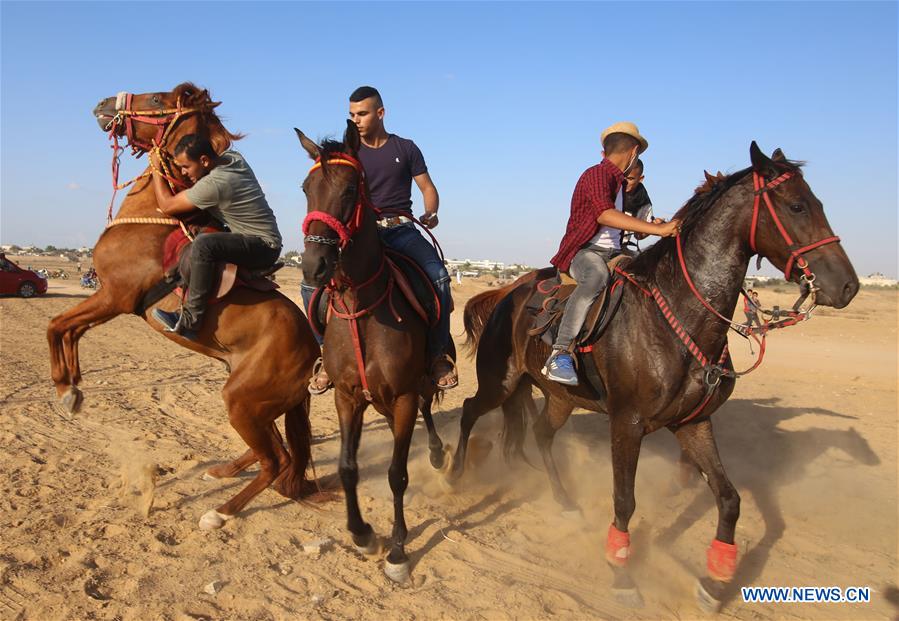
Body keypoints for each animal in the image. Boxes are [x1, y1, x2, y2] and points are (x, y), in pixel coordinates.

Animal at [47, 81, 324, 528]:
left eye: (158, 99)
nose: (104, 104)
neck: (155, 218)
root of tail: (313, 355)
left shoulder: (115, 297)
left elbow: (57, 324)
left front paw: (65, 390)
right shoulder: (107, 298)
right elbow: (69, 329)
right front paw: (72, 386)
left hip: (242, 401)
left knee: (276, 461)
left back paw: (221, 512)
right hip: (258, 403)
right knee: (276, 452)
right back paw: (224, 470)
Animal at [298, 122, 448, 588]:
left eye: (350, 190)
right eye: (306, 188)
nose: (313, 266)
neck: (361, 308)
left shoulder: (401, 398)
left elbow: (397, 474)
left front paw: (398, 551)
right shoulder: (348, 396)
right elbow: (348, 467)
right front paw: (361, 533)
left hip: (416, 386)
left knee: (427, 406)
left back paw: (438, 453)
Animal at [446, 142, 860, 612]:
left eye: (818, 203)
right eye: (796, 205)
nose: (847, 285)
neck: (676, 316)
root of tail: (506, 294)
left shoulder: (693, 423)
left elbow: (730, 499)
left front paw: (715, 580)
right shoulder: (626, 423)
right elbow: (624, 501)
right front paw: (623, 576)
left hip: (557, 397)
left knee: (540, 434)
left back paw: (564, 501)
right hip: (499, 381)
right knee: (469, 409)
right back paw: (454, 472)